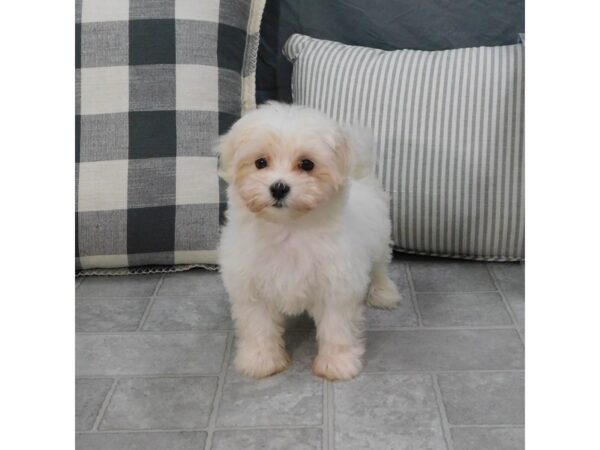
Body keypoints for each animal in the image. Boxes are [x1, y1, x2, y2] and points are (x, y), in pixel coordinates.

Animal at [213, 103, 400, 380]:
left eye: (307, 164)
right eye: (260, 162)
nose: (279, 188)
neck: (289, 228)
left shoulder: (337, 284)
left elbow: (337, 327)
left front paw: (337, 363)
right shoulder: (251, 285)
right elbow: (258, 326)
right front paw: (261, 361)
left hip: (379, 239)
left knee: (379, 268)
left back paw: (383, 293)